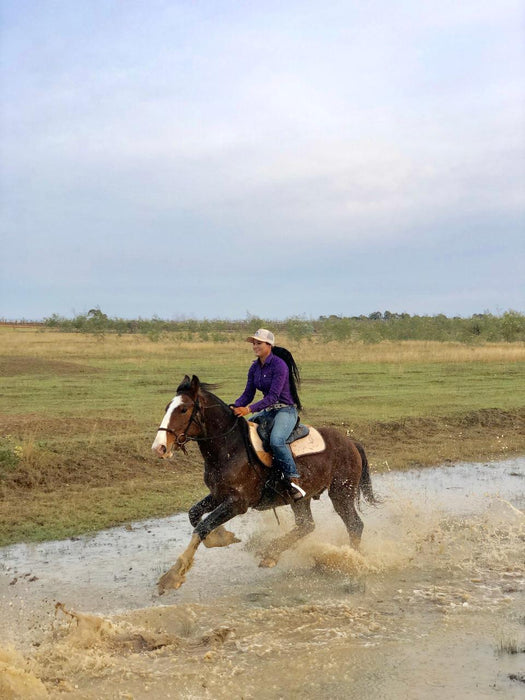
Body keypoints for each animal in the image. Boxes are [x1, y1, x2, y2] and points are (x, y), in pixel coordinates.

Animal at [149, 374, 374, 592]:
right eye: (167, 407)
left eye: (183, 409)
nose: (159, 448)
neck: (230, 447)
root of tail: (351, 443)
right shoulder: (219, 494)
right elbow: (195, 515)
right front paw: (223, 536)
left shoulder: (238, 503)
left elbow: (203, 526)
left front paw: (172, 576)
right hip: (302, 498)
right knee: (306, 525)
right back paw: (271, 554)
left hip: (341, 493)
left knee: (354, 525)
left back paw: (350, 561)